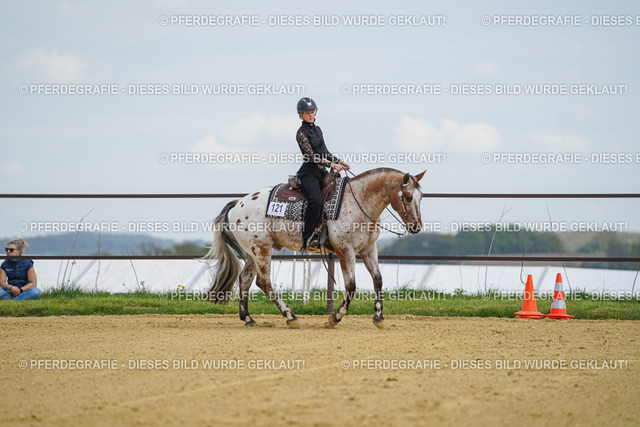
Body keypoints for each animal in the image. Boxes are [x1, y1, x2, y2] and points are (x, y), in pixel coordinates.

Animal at [204, 167, 425, 328]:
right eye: (407, 197)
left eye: (421, 197)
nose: (416, 227)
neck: (359, 200)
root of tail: (238, 203)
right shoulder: (345, 250)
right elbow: (351, 285)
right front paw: (336, 317)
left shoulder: (368, 249)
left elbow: (378, 279)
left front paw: (378, 316)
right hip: (262, 249)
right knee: (263, 282)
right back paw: (290, 316)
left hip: (253, 251)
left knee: (245, 279)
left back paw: (248, 318)